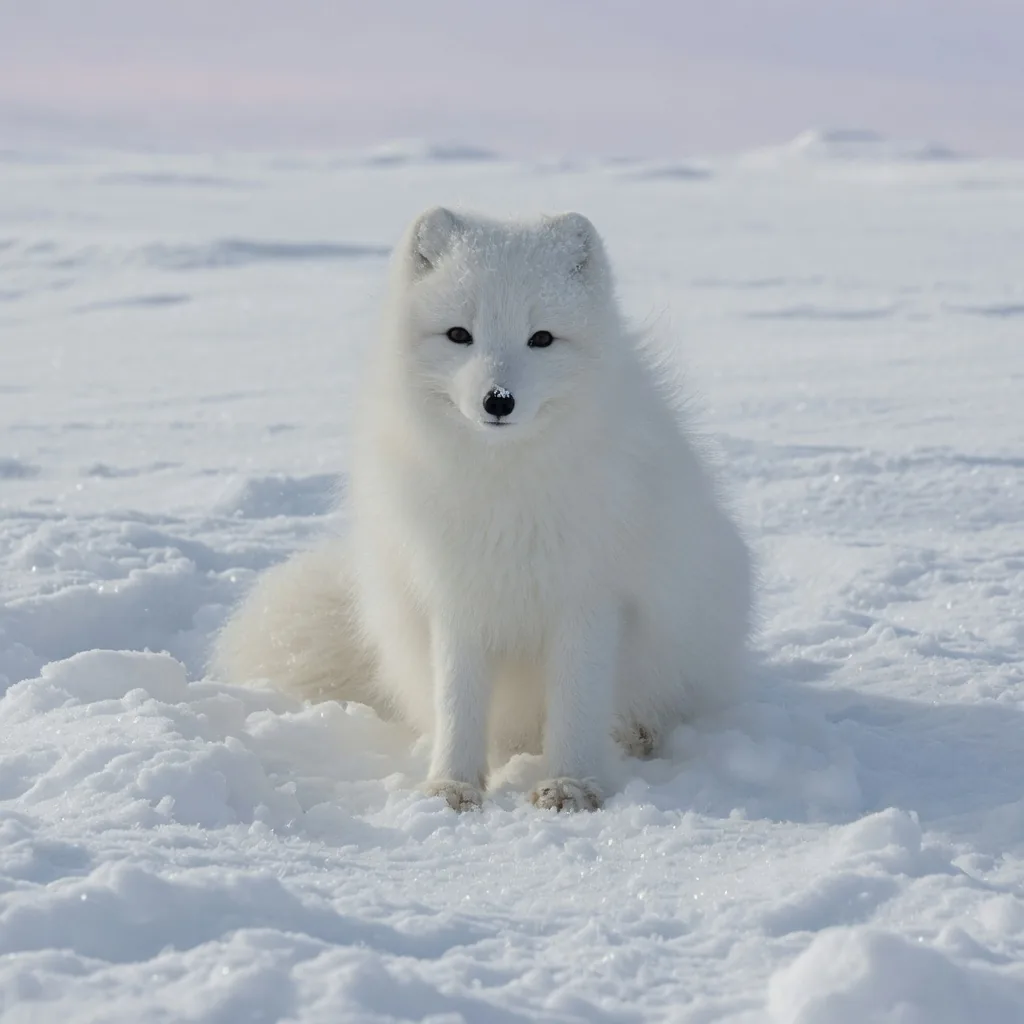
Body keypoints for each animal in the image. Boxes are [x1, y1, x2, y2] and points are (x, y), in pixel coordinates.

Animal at [213, 207, 753, 811]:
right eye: (459, 334)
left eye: (541, 338)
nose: (498, 400)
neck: (505, 490)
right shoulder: (457, 596)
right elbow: (458, 702)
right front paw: (452, 786)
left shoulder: (589, 599)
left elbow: (577, 703)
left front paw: (572, 784)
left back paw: (635, 733)